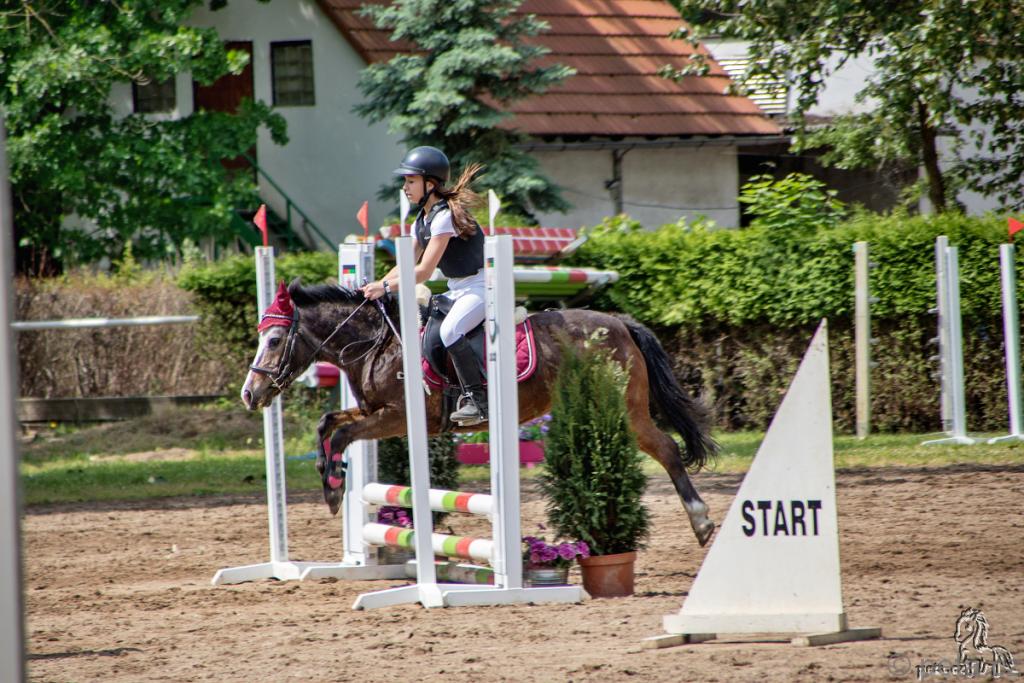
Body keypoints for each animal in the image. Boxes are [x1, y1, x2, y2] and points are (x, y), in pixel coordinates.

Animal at [240, 279, 718, 547]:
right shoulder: (371, 410)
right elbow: (329, 424)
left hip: (625, 410)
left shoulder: (399, 418)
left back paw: (701, 523)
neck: (377, 341)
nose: (250, 393)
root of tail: (620, 323)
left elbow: (340, 435)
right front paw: (328, 479)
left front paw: (335, 489)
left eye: (275, 341)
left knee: (667, 449)